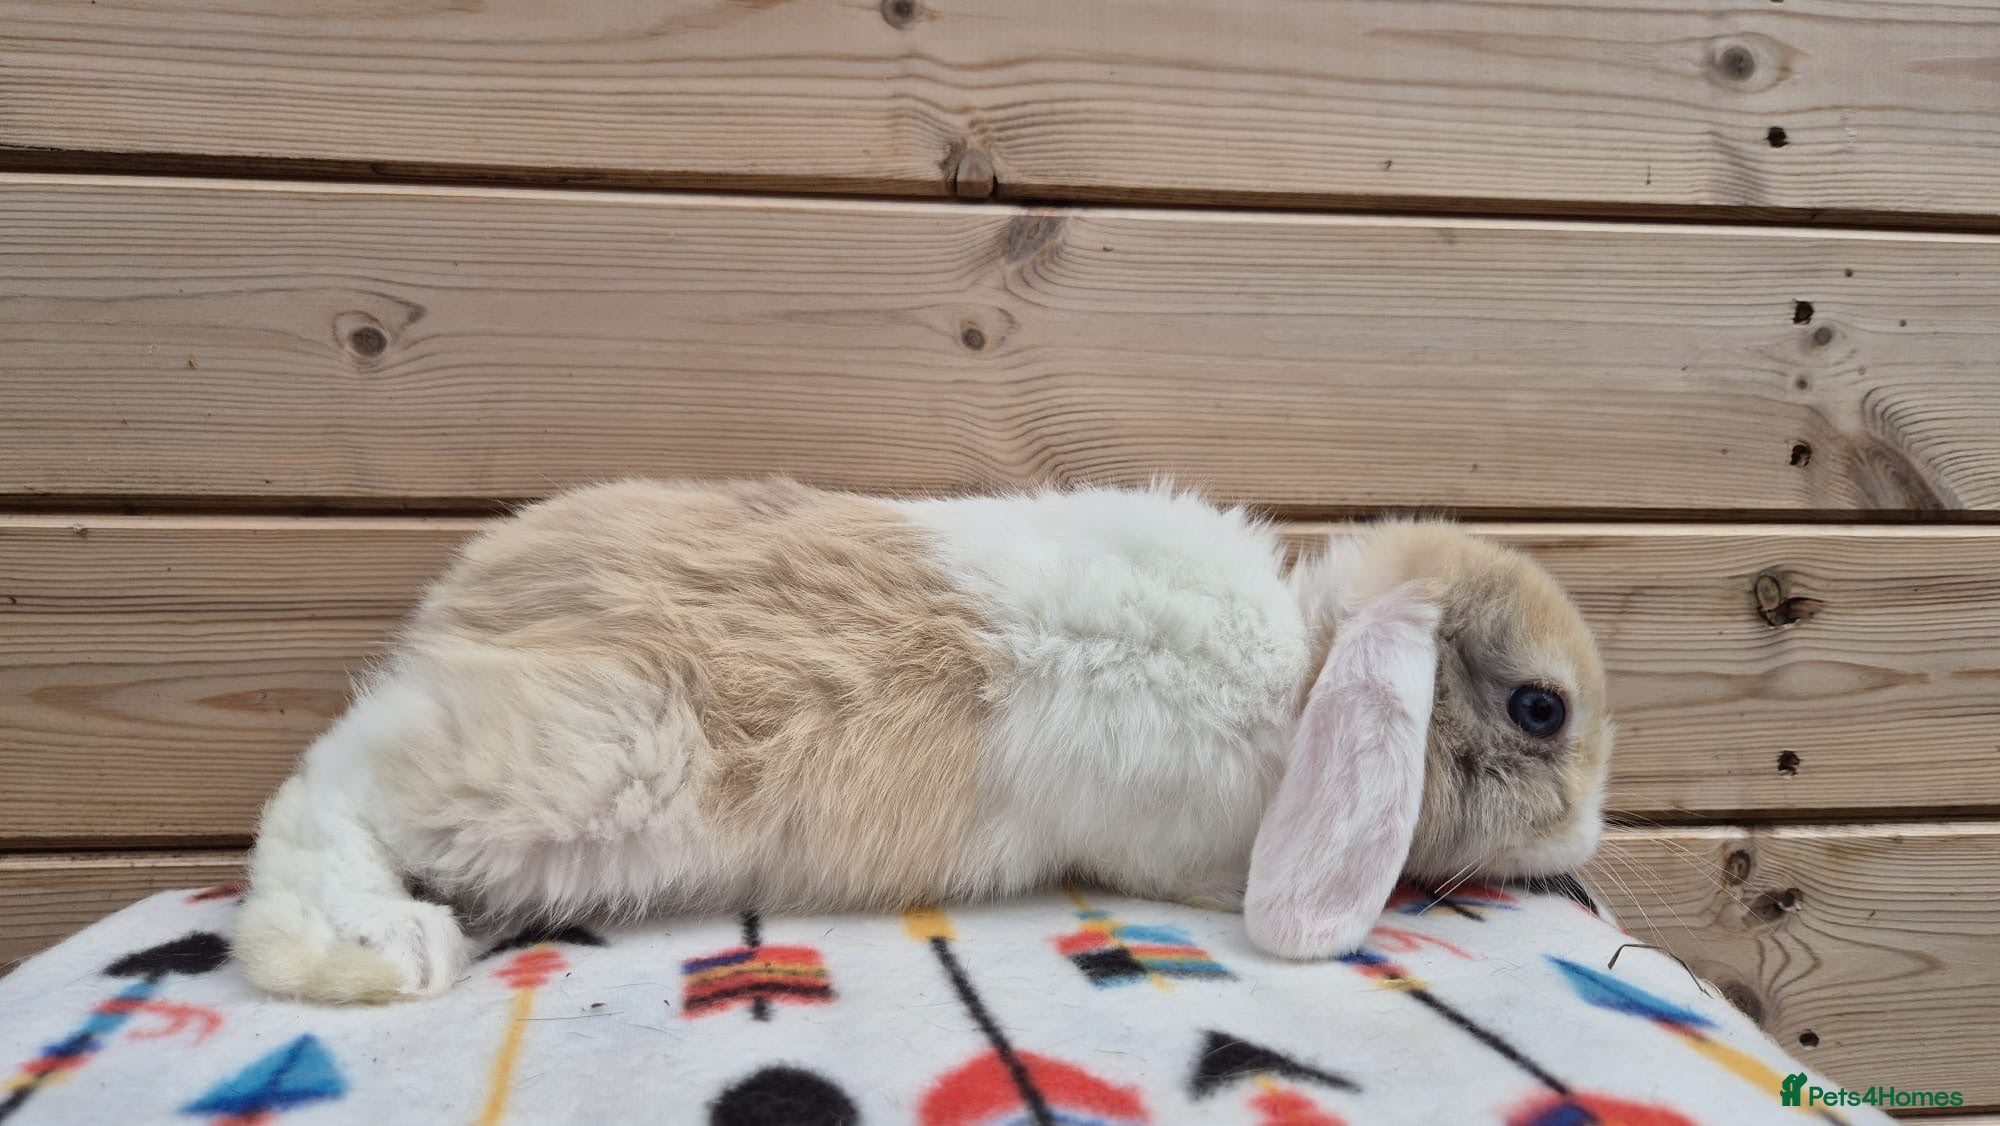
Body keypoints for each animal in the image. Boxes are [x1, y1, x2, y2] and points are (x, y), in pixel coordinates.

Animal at [234, 478, 1611, 1003]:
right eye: (1541, 710)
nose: (1594, 832)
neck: (1310, 667)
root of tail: (457, 608)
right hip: (584, 760)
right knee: (326, 789)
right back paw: (374, 948)